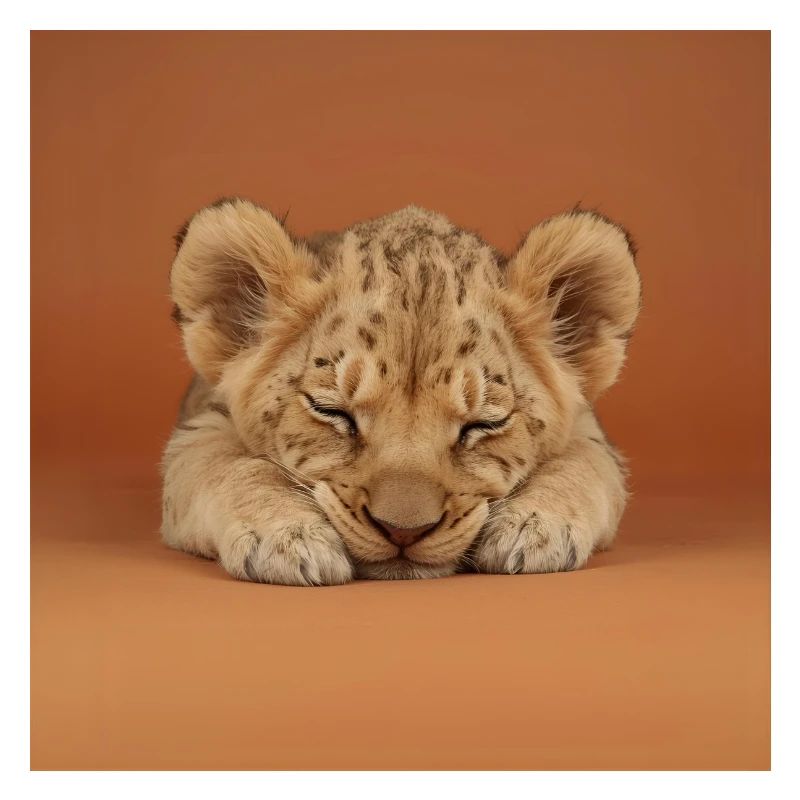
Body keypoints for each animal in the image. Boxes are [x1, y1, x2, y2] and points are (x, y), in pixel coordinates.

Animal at [161, 197, 641, 585]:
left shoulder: (589, 431)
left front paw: (536, 527)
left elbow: (579, 465)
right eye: (331, 412)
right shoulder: (200, 427)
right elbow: (231, 467)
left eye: (483, 424)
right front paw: (285, 537)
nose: (403, 531)